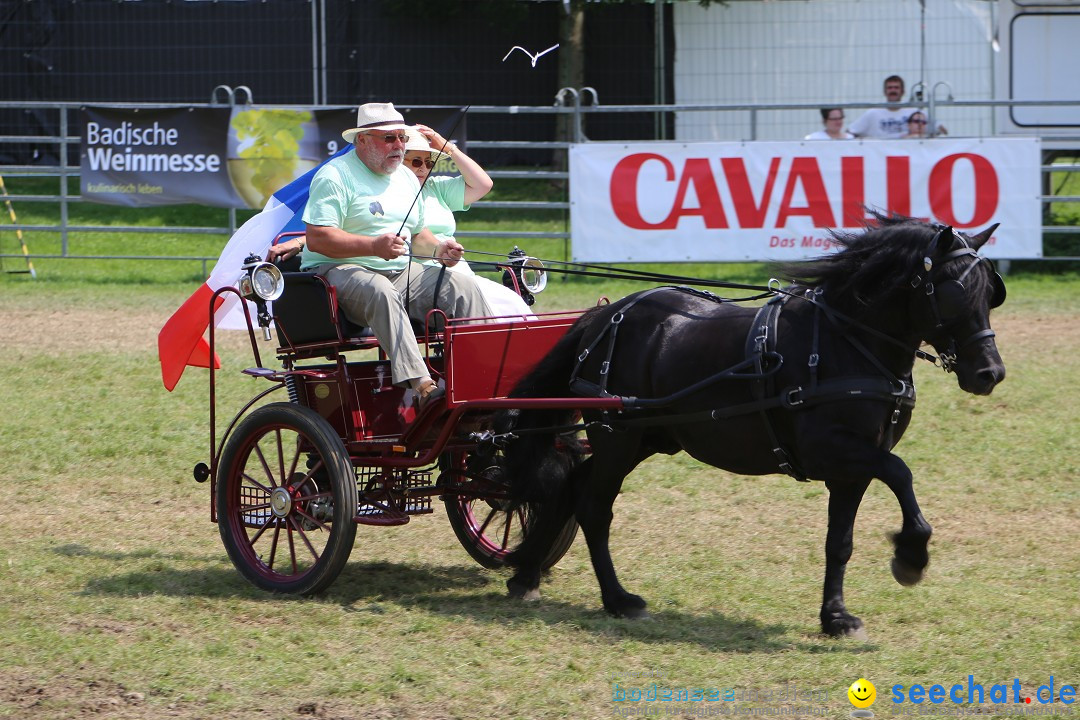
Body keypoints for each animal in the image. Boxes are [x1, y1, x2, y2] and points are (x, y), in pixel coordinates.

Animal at [496, 215, 1002, 634]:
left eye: (992, 292)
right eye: (956, 291)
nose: (989, 373)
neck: (847, 339)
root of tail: (607, 314)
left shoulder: (852, 467)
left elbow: (839, 541)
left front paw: (835, 616)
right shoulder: (833, 449)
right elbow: (901, 473)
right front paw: (911, 556)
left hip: (647, 436)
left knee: (574, 485)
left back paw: (526, 575)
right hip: (617, 436)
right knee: (595, 506)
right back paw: (617, 599)